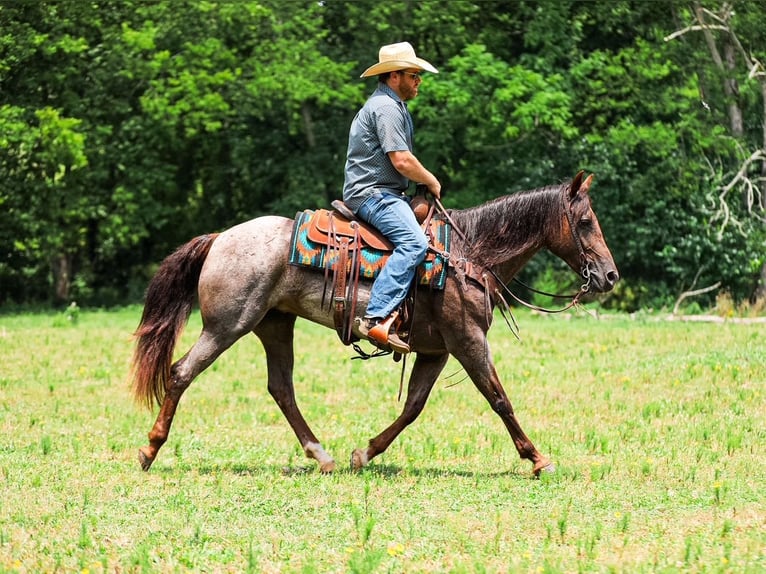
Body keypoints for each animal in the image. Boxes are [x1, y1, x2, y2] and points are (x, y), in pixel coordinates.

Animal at [130, 171, 619, 476]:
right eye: (585, 221)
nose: (610, 276)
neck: (468, 254)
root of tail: (219, 238)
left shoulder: (436, 350)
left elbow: (413, 407)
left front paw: (364, 453)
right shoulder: (467, 340)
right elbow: (499, 398)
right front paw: (538, 458)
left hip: (274, 324)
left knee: (281, 388)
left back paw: (322, 455)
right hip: (226, 325)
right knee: (181, 372)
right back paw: (149, 449)